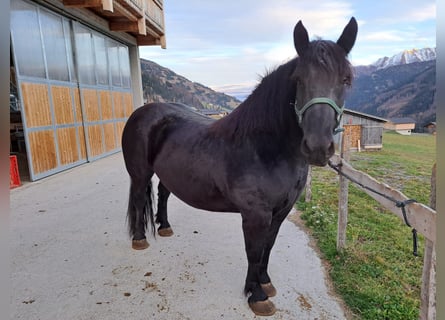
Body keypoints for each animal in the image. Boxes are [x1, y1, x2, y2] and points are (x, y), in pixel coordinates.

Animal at [121, 18, 358, 318]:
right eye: (298, 80)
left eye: (346, 79)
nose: (317, 146)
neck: (263, 147)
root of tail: (142, 113)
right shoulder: (255, 214)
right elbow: (254, 252)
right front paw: (256, 295)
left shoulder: (281, 212)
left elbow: (268, 247)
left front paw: (265, 283)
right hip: (140, 173)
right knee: (140, 199)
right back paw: (140, 239)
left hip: (168, 173)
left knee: (163, 194)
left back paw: (164, 226)